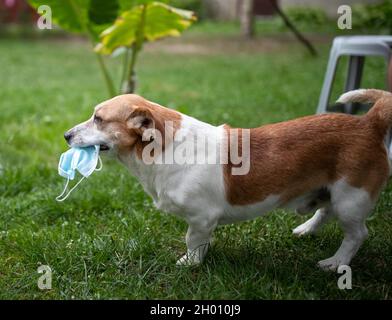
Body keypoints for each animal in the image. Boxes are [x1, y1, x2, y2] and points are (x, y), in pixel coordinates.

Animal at [64, 88, 392, 270]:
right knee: (325, 211)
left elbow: (192, 240)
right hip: (333, 191)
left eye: (98, 119)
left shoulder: (201, 217)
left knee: (357, 235)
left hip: (351, 198)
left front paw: (190, 263)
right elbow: (201, 241)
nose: (65, 135)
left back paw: (336, 263)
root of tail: (369, 123)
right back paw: (306, 230)